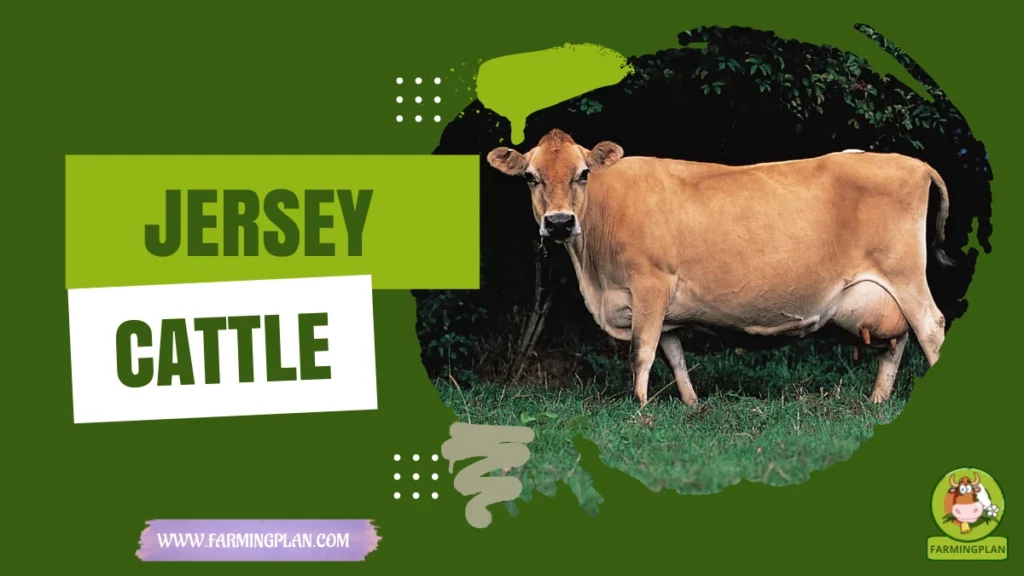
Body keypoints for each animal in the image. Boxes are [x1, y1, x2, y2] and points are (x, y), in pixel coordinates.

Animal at [486, 128, 953, 408]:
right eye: (530, 177)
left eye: (583, 173)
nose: (559, 223)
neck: (596, 276)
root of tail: (911, 162)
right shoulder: (663, 305)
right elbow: (674, 355)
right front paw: (691, 405)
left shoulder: (650, 283)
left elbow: (642, 351)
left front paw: (639, 407)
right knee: (896, 343)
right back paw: (877, 401)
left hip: (906, 275)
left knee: (930, 328)